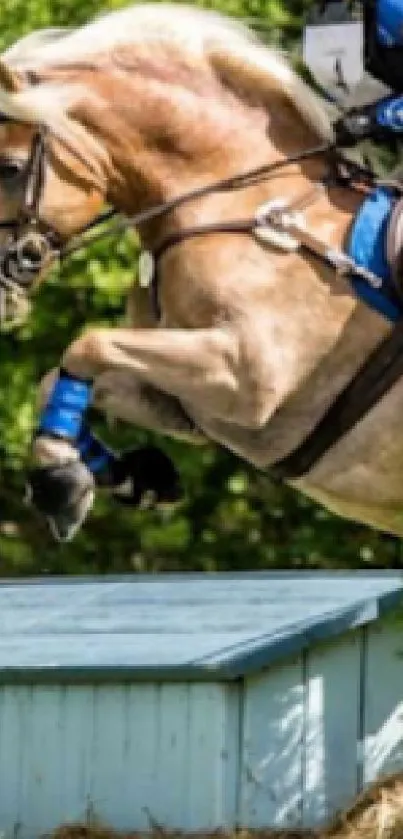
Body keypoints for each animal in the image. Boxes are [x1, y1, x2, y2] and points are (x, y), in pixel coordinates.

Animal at [0, 3, 403, 540]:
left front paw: (58, 481)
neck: (237, 199)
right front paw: (126, 476)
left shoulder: (247, 380)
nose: (1, 285)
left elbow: (89, 344)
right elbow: (60, 375)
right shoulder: (188, 403)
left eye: (8, 168)